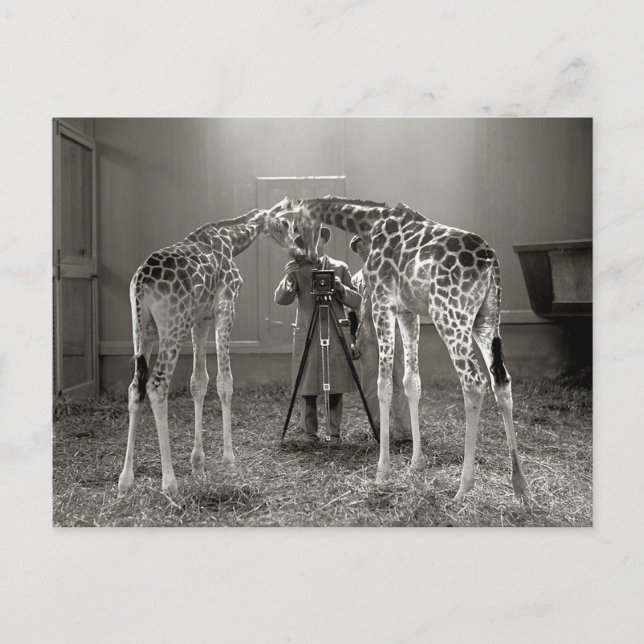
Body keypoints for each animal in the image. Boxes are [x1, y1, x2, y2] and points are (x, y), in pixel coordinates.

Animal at [118, 200, 300, 497]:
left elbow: (198, 381)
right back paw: (169, 483)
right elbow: (225, 381)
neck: (229, 241)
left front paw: (198, 464)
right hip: (172, 326)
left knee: (136, 386)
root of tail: (141, 281)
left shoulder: (201, 319)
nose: (297, 246)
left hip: (142, 330)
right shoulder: (225, 305)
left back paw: (125, 480)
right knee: (157, 385)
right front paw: (229, 463)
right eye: (284, 222)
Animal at [277, 196, 528, 499]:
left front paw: (382, 472)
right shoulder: (408, 312)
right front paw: (415, 464)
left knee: (474, 381)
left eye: (300, 225)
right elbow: (411, 382)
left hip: (450, 315)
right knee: (501, 380)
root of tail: (492, 264)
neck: (369, 222)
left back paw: (463, 488)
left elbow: (384, 384)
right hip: (487, 320)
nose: (308, 257)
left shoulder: (383, 303)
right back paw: (520, 485)